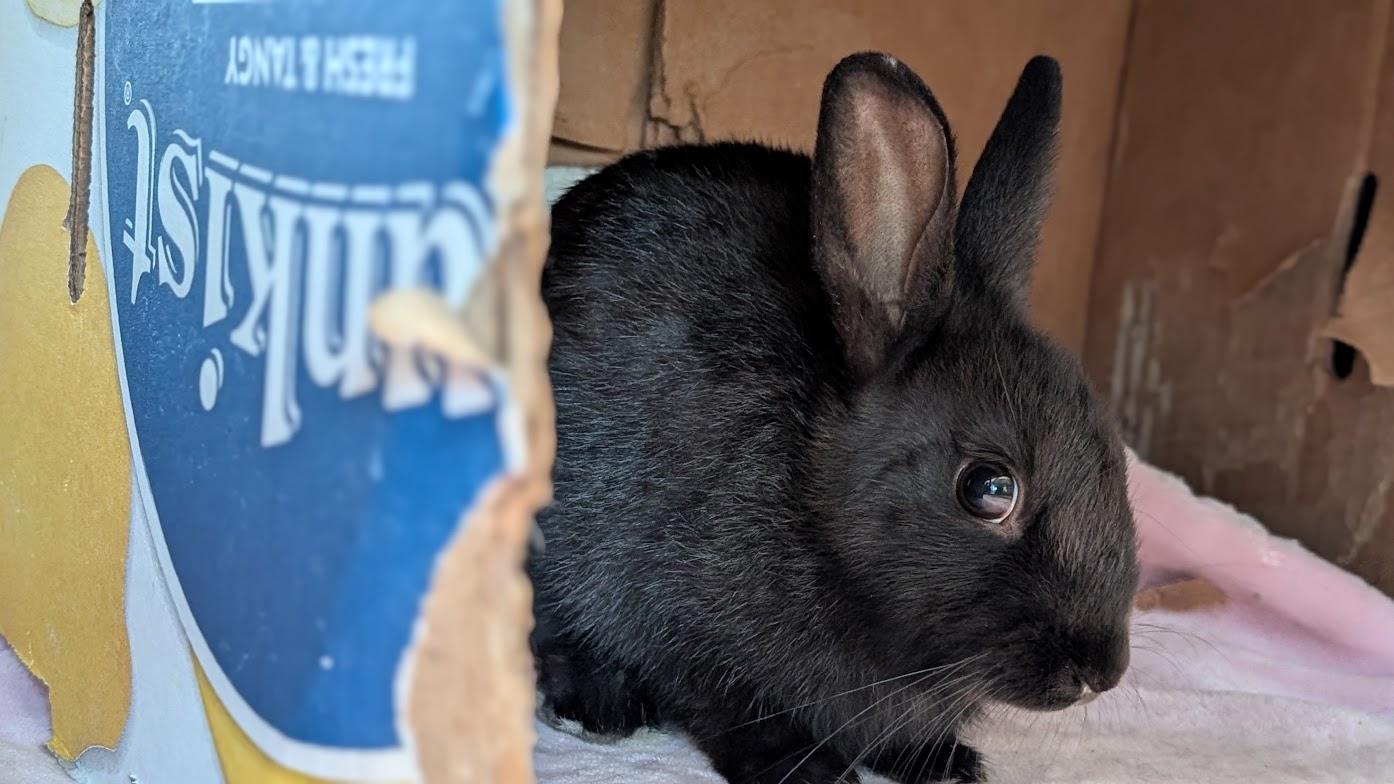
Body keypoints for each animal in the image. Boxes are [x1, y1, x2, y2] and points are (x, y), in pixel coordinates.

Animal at [530, 52, 1139, 784]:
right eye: (989, 488)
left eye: (1116, 457)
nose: (1102, 672)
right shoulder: (684, 629)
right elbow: (729, 708)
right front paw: (810, 770)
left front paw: (946, 763)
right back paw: (595, 704)